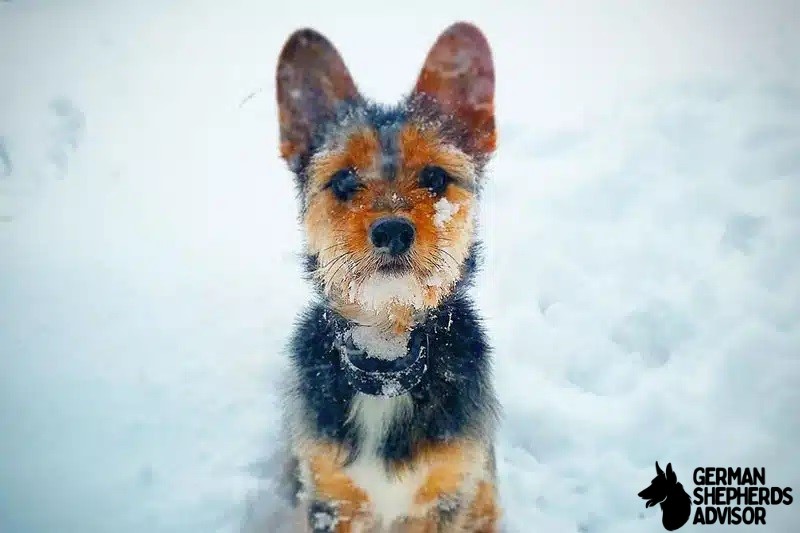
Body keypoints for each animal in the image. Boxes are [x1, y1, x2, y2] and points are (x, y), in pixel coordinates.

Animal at [276, 22, 500, 528]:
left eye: (435, 178)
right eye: (343, 180)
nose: (393, 231)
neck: (387, 360)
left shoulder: (446, 496)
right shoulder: (330, 499)